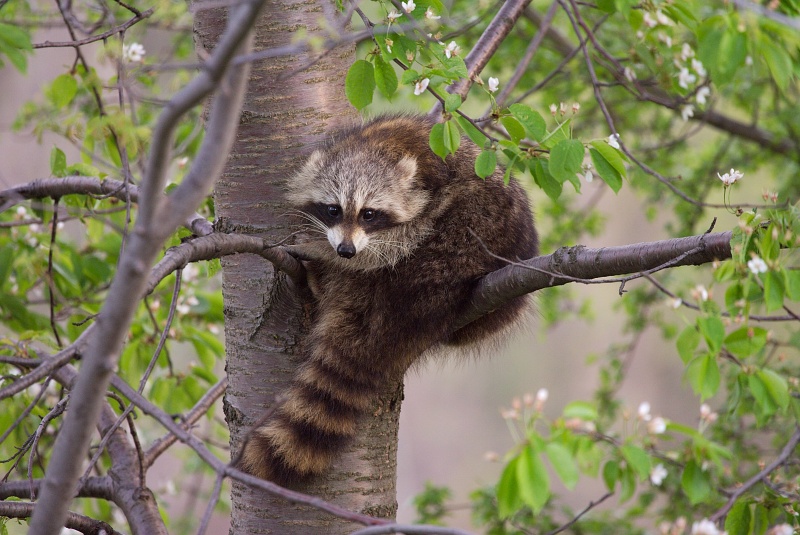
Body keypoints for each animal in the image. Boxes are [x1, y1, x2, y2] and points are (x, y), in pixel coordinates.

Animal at [238, 114, 539, 484]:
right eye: (333, 210)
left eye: (369, 214)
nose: (345, 250)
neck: (376, 148)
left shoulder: (432, 177)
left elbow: (402, 237)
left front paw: (321, 250)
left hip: (461, 240)